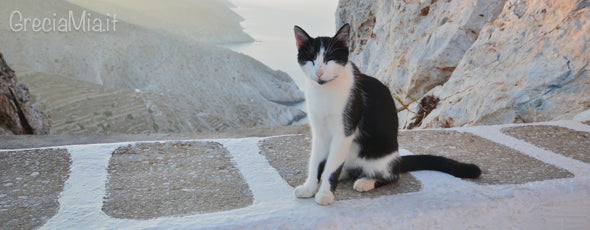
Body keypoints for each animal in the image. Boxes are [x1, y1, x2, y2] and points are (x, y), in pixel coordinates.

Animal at [294, 24, 484, 206]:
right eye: (311, 59)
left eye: (330, 59)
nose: (319, 72)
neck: (323, 90)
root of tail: (398, 159)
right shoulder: (319, 132)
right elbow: (315, 162)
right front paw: (310, 187)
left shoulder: (344, 132)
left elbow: (332, 167)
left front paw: (325, 193)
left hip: (380, 155)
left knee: (391, 175)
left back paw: (366, 181)